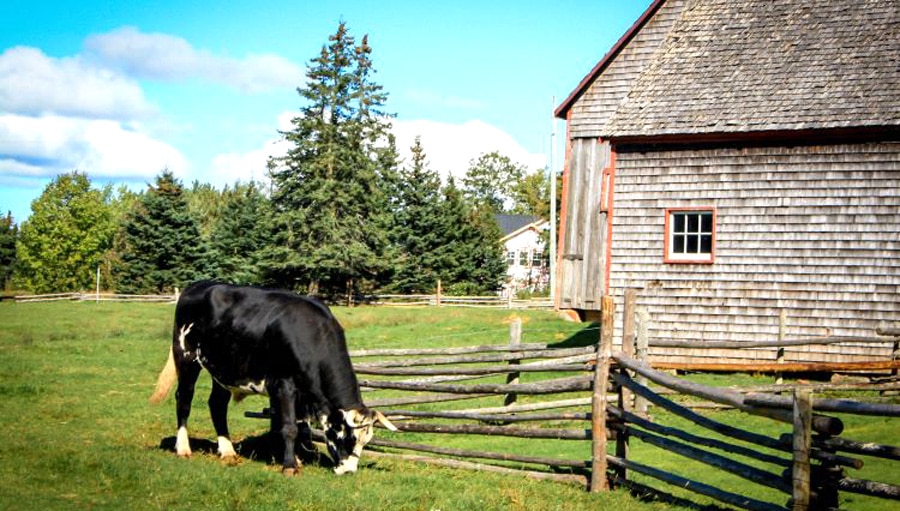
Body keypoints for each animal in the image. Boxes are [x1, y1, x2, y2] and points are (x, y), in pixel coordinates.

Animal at [150, 280, 396, 475]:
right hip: (186, 356)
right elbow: (289, 427)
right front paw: (289, 465)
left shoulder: (301, 393)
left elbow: (298, 428)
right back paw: (183, 448)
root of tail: (195, 286)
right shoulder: (284, 385)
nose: (348, 471)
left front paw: (296, 458)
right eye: (349, 437)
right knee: (184, 399)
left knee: (217, 405)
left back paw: (227, 451)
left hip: (223, 369)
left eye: (366, 440)